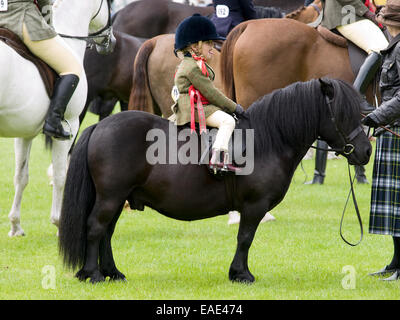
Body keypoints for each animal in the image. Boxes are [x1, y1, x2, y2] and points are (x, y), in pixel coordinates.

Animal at [1, 0, 113, 235]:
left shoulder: (24, 133)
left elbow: (21, 176)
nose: (111, 42)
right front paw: (60, 222)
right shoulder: (69, 125)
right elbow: (62, 176)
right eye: (110, 4)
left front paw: (15, 225)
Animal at [58, 79, 372, 284]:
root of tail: (100, 125)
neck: (267, 140)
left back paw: (112, 273)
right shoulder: (254, 207)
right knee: (96, 228)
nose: (367, 151)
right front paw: (241, 274)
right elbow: (245, 238)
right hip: (111, 196)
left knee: (106, 232)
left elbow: (245, 239)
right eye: (343, 114)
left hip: (118, 197)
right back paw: (93, 274)